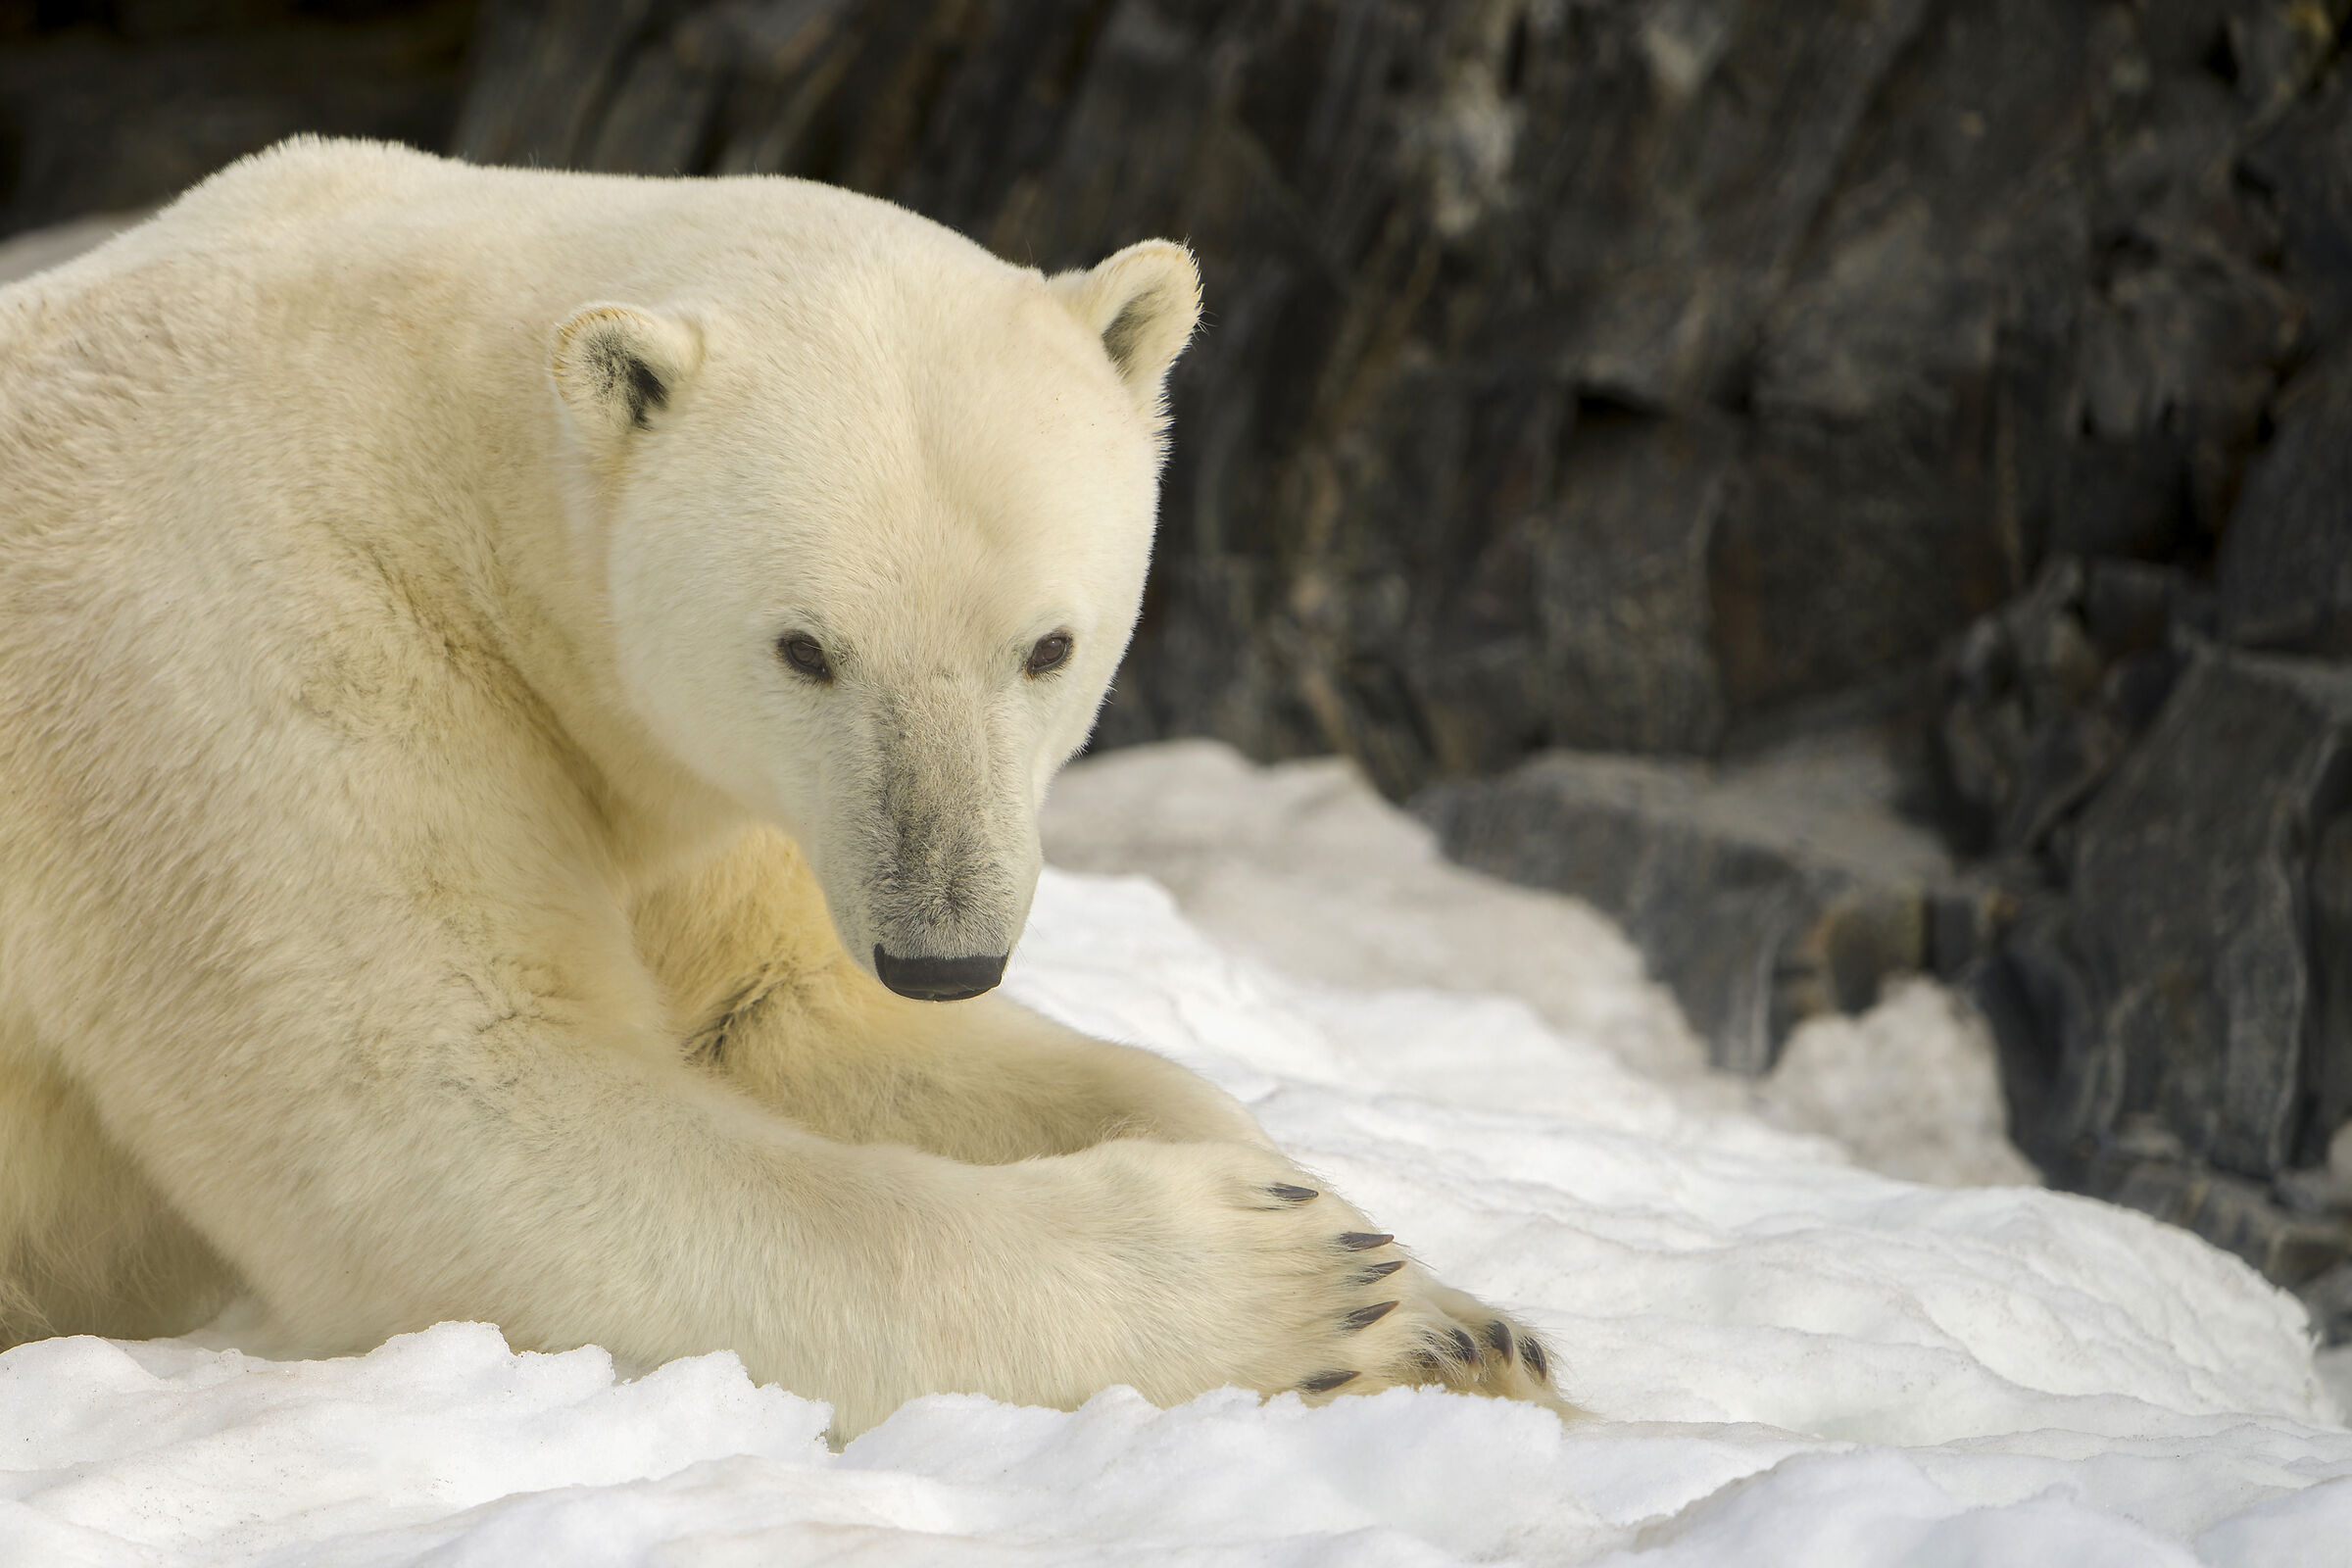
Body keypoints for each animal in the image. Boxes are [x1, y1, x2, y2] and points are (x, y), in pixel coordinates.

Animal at [0, 138, 1563, 1439]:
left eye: (1048, 645)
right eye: (805, 646)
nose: (945, 954)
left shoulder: (720, 798)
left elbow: (791, 1017)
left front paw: (1454, 1317)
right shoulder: (245, 653)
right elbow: (456, 1115)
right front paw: (1287, 1276)